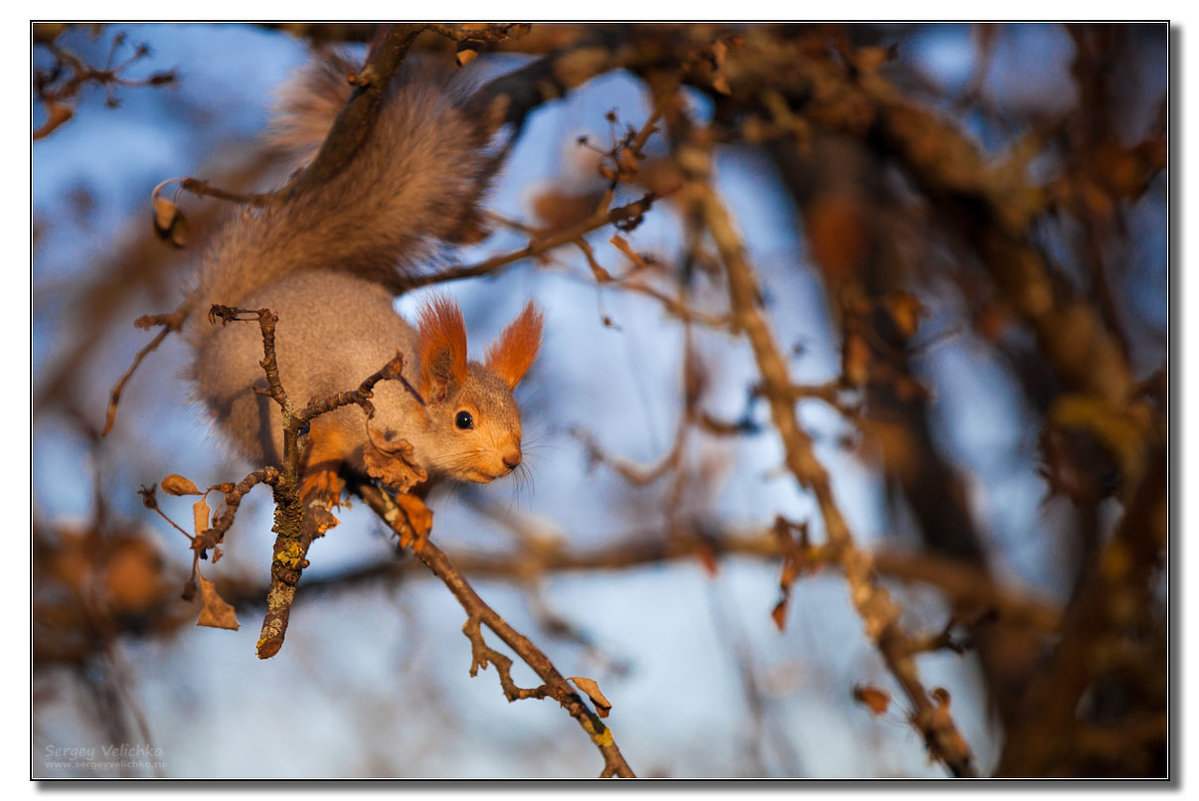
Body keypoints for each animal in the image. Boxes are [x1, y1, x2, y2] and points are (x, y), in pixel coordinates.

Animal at [187, 53, 544, 501]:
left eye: (518, 413)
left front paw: (413, 510)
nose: (512, 459)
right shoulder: (343, 383)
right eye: (464, 420)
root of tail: (209, 348)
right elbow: (325, 433)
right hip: (250, 409)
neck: (411, 410)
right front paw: (322, 472)